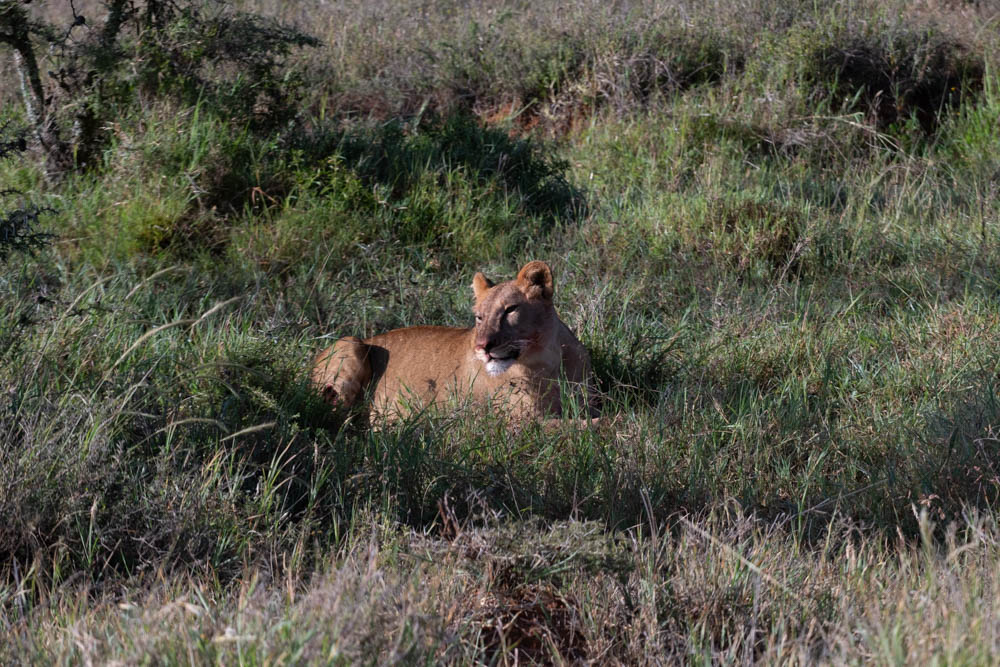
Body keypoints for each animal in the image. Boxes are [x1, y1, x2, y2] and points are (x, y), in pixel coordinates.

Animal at [312, 260, 598, 427]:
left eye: (510, 310)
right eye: (479, 317)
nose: (482, 347)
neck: (547, 361)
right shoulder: (523, 422)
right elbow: (589, 427)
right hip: (350, 344)